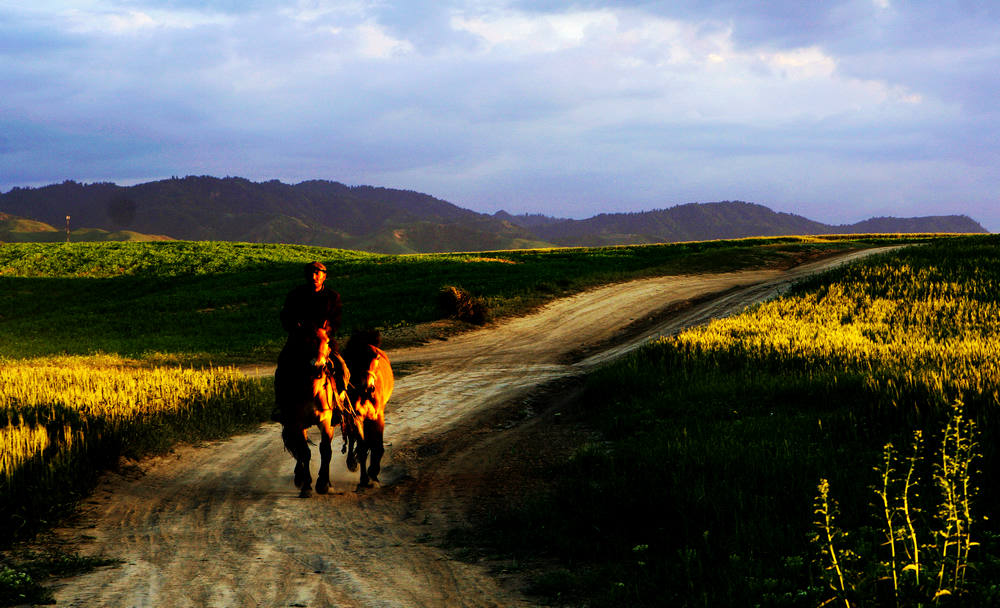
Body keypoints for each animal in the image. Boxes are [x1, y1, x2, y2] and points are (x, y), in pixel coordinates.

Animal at [272, 320, 358, 496]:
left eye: (327, 341)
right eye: (305, 341)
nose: (318, 367)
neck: (311, 389)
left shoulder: (325, 421)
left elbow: (325, 450)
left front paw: (323, 484)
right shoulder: (296, 423)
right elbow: (304, 452)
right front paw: (306, 486)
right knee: (297, 448)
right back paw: (299, 478)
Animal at [342, 330, 392, 492]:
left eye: (376, 357)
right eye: (356, 357)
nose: (369, 388)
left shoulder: (377, 415)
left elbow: (377, 446)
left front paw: (374, 474)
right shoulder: (356, 417)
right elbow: (363, 447)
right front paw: (364, 479)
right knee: (352, 437)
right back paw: (352, 462)